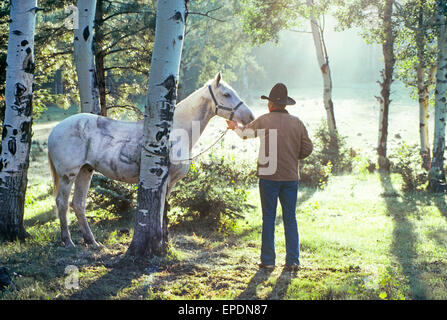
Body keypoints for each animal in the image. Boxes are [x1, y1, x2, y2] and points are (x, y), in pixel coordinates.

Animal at [48, 74, 256, 249]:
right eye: (226, 94)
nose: (250, 117)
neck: (176, 131)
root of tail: (55, 130)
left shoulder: (169, 183)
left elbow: (165, 210)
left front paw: (165, 241)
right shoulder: (166, 179)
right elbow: (162, 210)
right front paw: (162, 241)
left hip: (86, 171)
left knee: (78, 204)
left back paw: (92, 242)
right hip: (68, 175)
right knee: (62, 203)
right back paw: (68, 242)